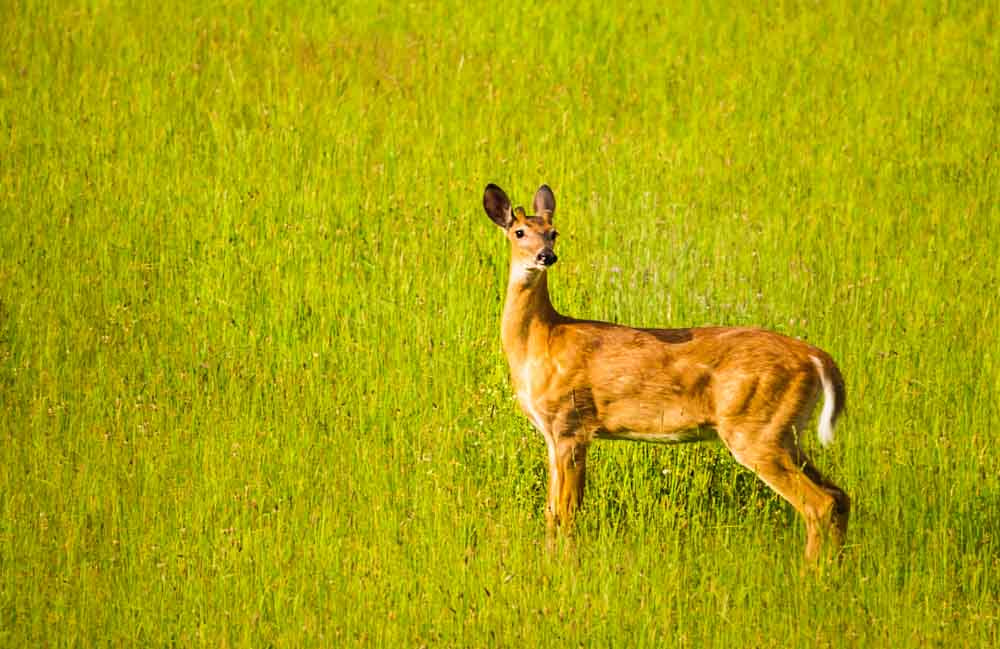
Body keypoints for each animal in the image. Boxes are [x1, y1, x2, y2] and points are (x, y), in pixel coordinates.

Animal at [482, 183, 850, 561]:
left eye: (553, 232)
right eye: (519, 232)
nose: (546, 256)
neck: (542, 340)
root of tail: (815, 356)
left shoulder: (570, 424)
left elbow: (565, 511)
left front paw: (564, 564)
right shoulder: (554, 434)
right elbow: (551, 510)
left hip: (756, 430)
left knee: (818, 504)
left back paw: (810, 571)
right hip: (786, 432)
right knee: (840, 497)